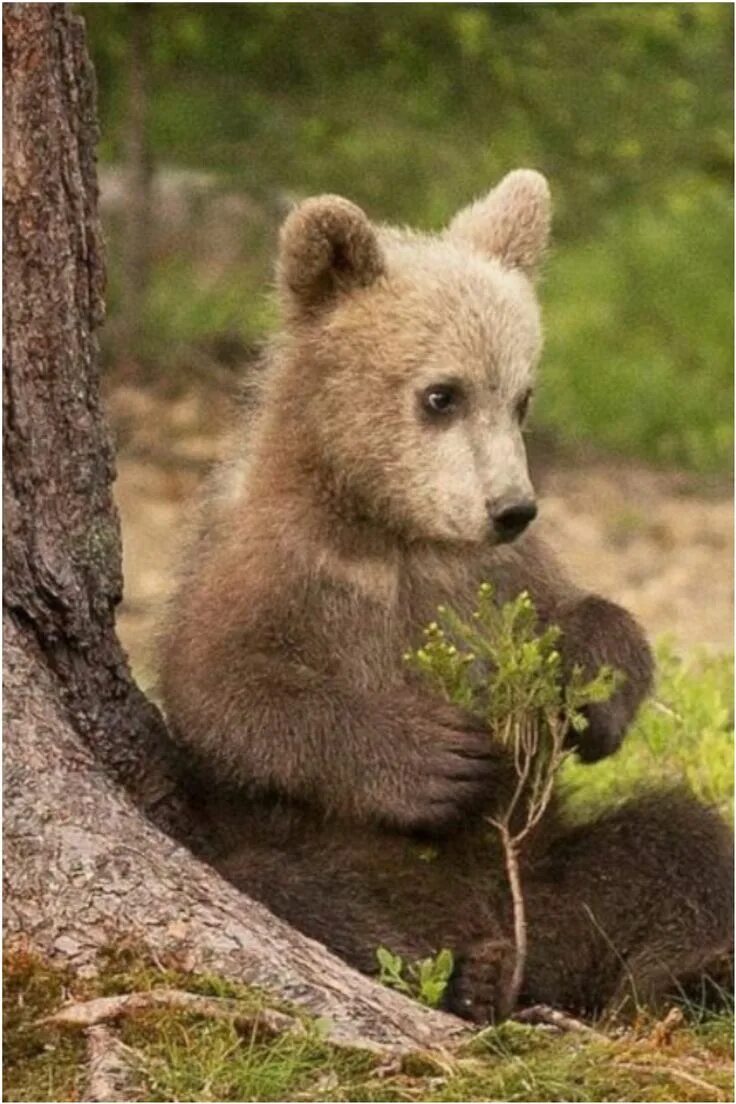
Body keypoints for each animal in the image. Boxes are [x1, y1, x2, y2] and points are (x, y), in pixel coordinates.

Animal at [160, 172, 732, 1024]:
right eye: (441, 395)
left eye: (522, 398)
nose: (511, 507)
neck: (390, 527)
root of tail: (523, 943)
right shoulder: (267, 564)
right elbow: (223, 693)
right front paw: (436, 758)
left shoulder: (488, 575)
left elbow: (582, 612)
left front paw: (590, 694)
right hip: (359, 868)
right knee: (293, 889)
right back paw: (464, 974)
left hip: (555, 870)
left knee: (680, 843)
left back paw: (690, 977)